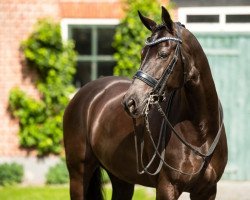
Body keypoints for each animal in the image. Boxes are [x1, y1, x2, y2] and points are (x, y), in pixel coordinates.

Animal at [63, 6, 228, 200]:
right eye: (142, 53)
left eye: (163, 54)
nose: (130, 101)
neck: (200, 135)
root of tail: (85, 94)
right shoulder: (166, 188)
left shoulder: (207, 191)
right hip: (78, 175)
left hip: (121, 178)